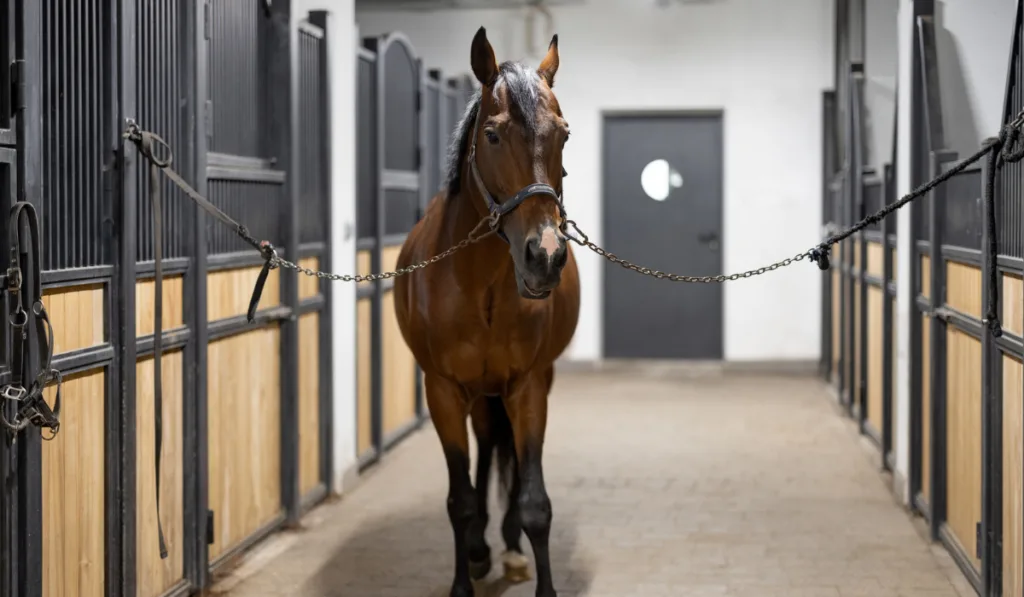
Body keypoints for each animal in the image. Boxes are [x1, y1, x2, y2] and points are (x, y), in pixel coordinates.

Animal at [395, 25, 581, 597]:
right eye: (493, 135)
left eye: (564, 134)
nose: (545, 257)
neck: (480, 287)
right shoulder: (442, 390)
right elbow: (459, 499)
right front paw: (464, 576)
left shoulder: (529, 386)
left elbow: (535, 499)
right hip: (475, 393)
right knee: (481, 453)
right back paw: (479, 551)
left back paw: (508, 547)